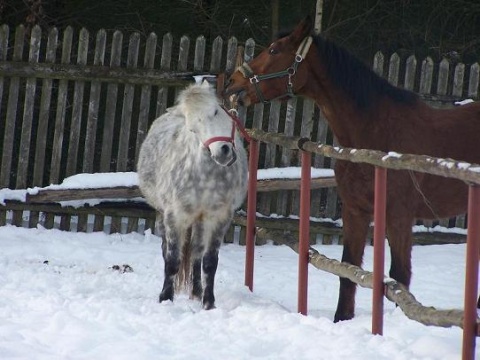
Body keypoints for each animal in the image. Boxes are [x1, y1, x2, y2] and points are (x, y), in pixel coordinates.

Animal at [136, 81, 246, 310]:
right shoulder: (175, 216)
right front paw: (165, 298)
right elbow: (172, 260)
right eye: (193, 128)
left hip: (200, 220)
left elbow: (209, 261)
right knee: (167, 250)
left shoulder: (219, 217)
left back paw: (196, 291)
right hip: (162, 214)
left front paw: (208, 302)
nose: (223, 151)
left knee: (196, 252)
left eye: (216, 111)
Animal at [224, 15, 480, 322]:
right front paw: (341, 318)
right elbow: (348, 270)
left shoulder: (398, 216)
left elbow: (399, 278)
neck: (374, 134)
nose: (232, 83)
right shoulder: (355, 211)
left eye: (274, 50)